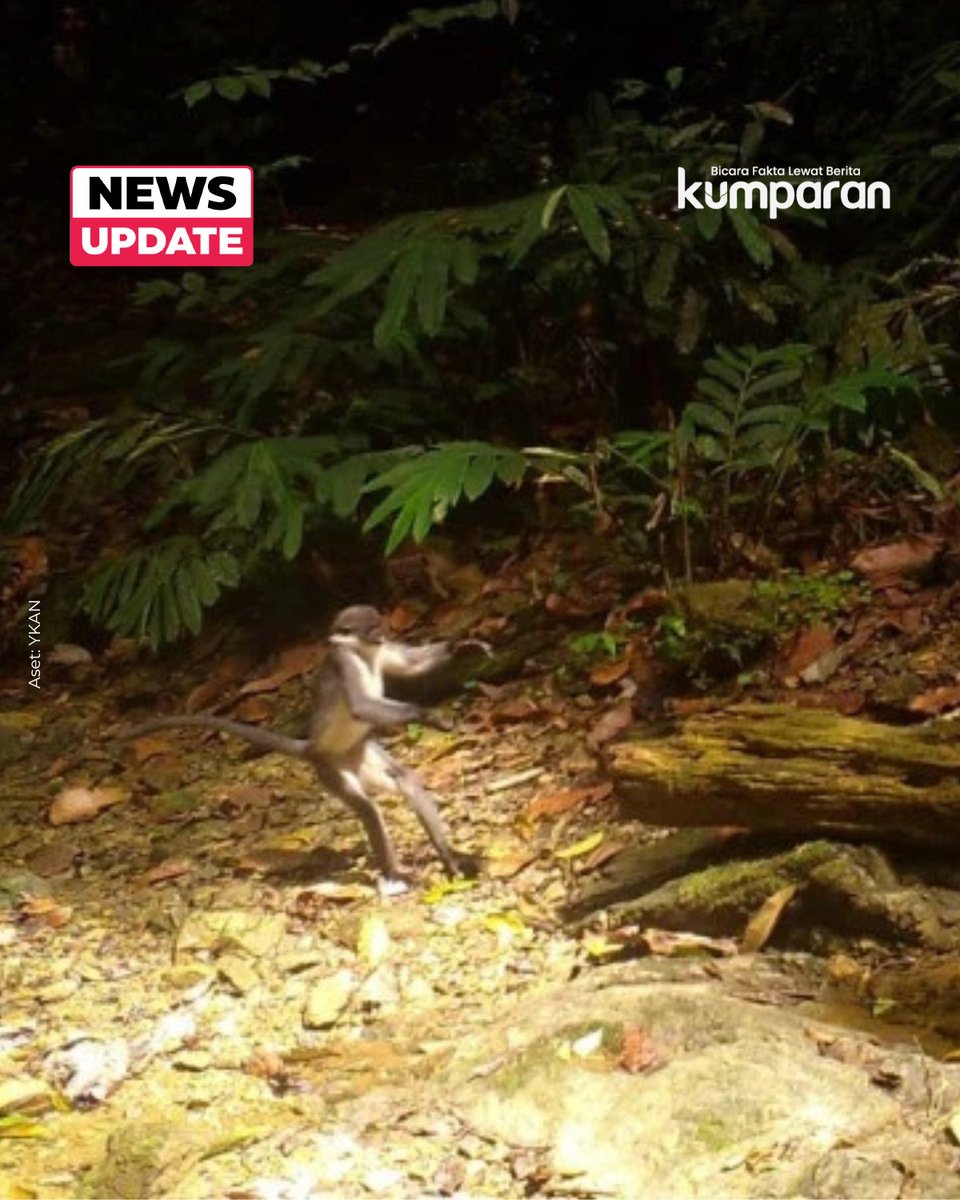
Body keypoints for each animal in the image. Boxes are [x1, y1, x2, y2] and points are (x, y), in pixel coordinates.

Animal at [123, 606, 487, 890]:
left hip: (359, 751)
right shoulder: (343, 662)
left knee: (405, 779)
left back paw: (450, 856)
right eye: (372, 628)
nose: (382, 635)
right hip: (330, 767)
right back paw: (396, 872)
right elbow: (360, 707)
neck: (362, 653)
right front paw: (426, 715)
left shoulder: (380, 654)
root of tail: (312, 746)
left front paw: (463, 645)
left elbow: (410, 666)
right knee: (368, 810)